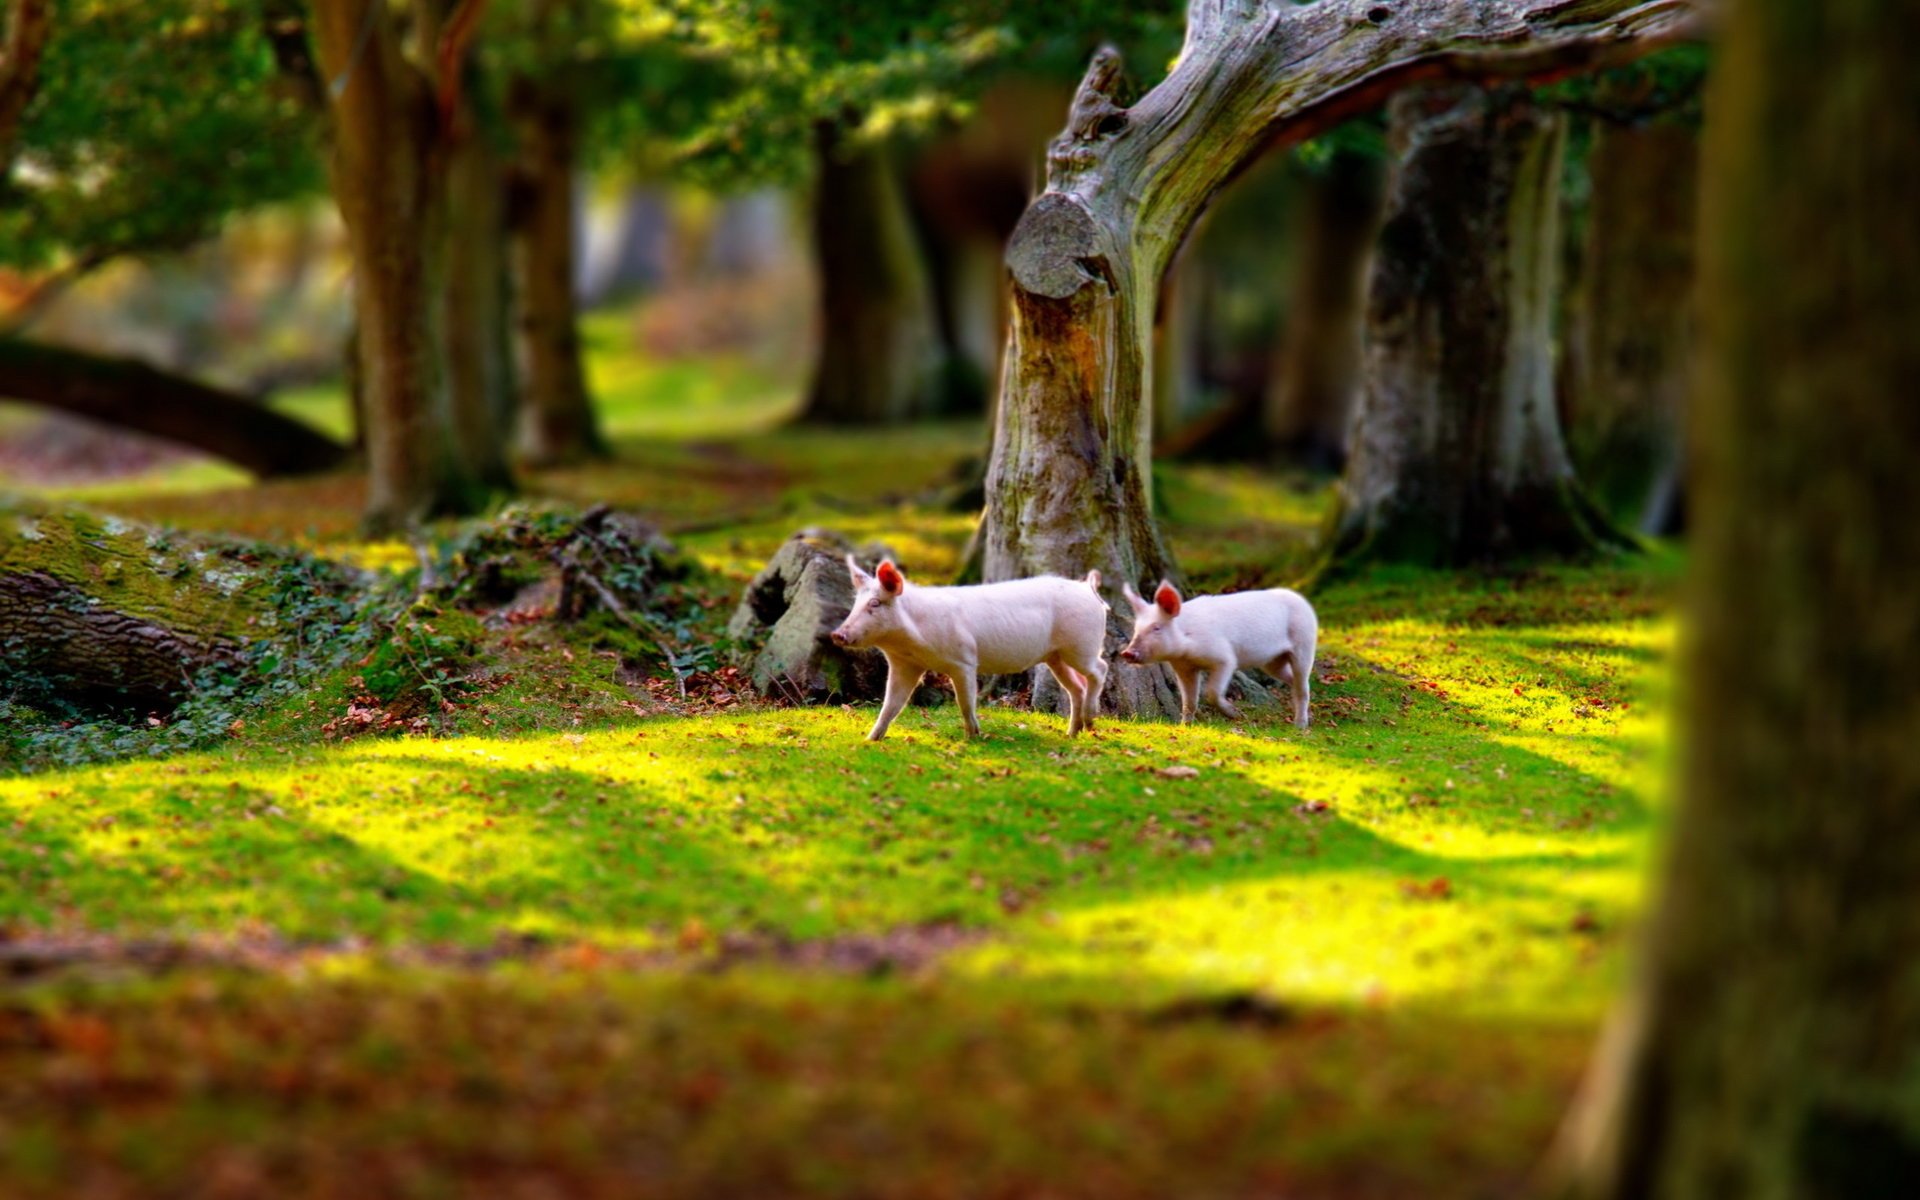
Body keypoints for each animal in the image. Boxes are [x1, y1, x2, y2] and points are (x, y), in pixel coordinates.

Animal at [830, 557, 1109, 742]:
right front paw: (870, 739)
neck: (911, 643)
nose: (837, 634)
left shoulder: (964, 661)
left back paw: (1090, 718)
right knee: (1076, 687)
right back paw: (1073, 733)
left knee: (1100, 669)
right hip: (1056, 656)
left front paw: (973, 737)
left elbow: (965, 702)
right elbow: (892, 704)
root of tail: (1087, 588)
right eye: (856, 603)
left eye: (875, 603)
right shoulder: (905, 664)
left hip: (1081, 645)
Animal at [1118, 580, 1318, 729]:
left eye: (1156, 628)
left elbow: (1212, 692)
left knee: (1303, 685)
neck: (1186, 648)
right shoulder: (1184, 668)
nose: (1126, 653)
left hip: (1304, 645)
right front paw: (1184, 726)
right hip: (1272, 662)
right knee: (1292, 680)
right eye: (1136, 629)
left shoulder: (1224, 658)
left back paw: (1300, 726)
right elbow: (1189, 700)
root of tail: (1303, 601)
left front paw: (1236, 714)